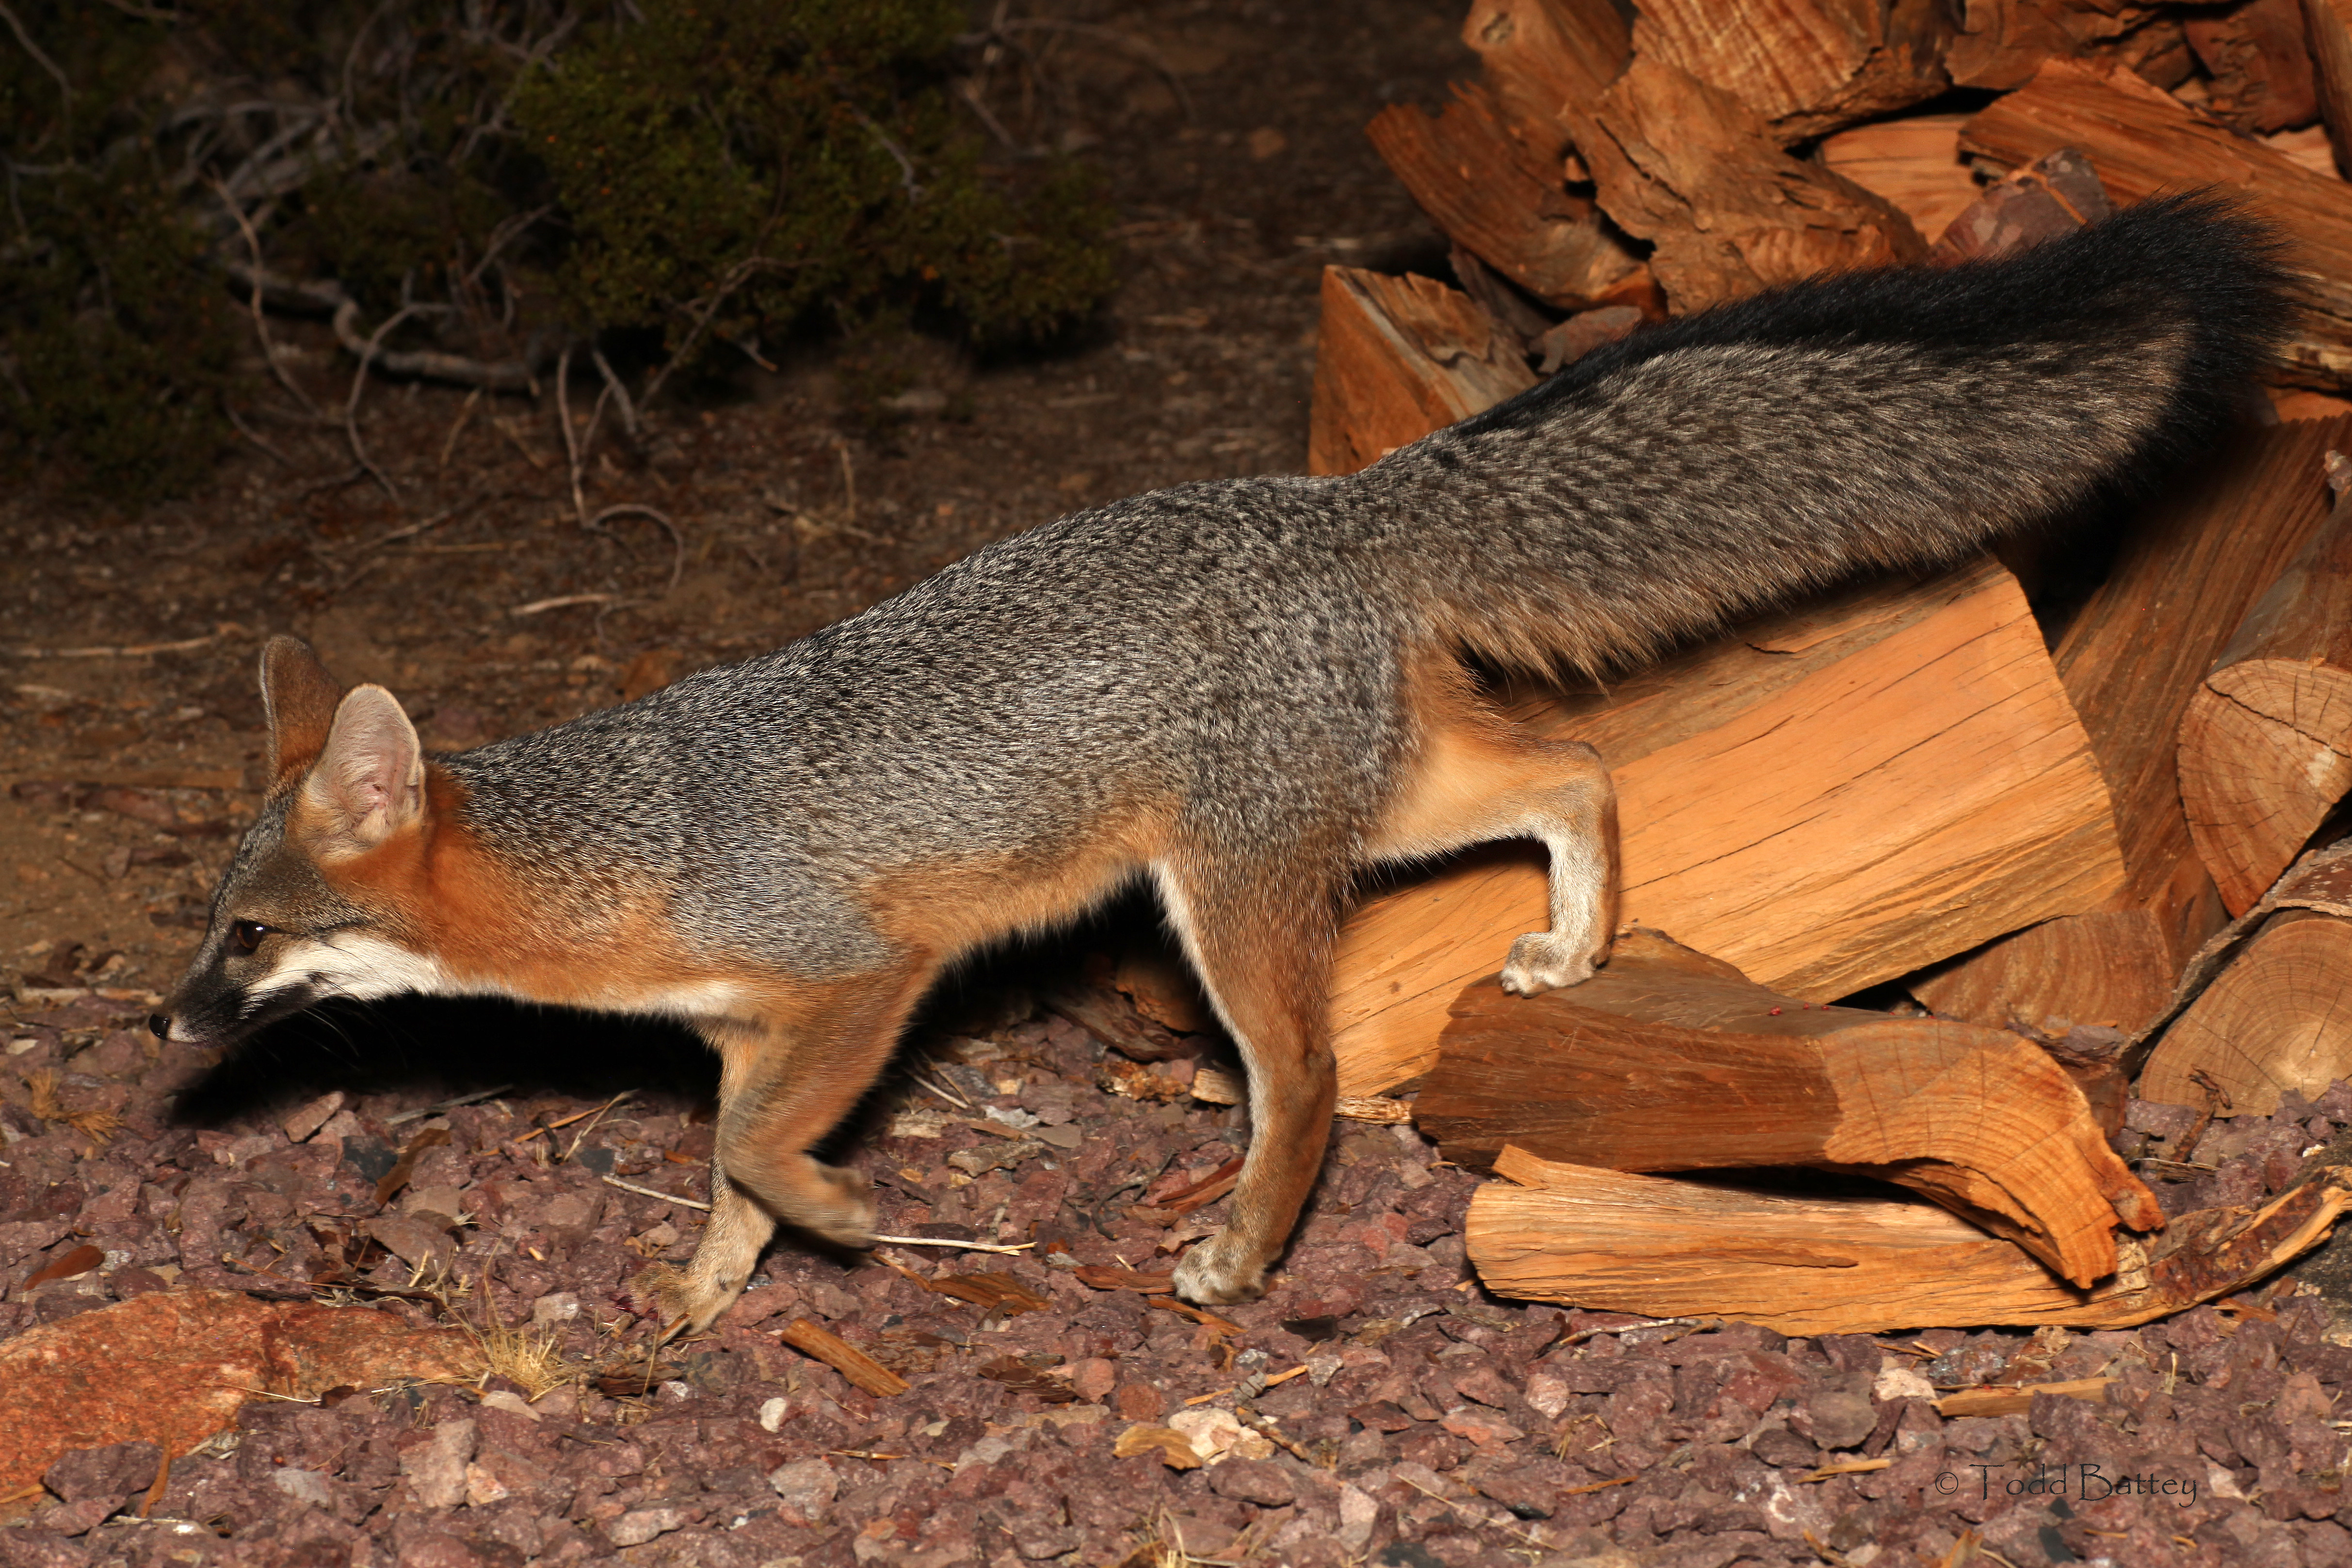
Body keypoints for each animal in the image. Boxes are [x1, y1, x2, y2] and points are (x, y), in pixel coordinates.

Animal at [157, 195, 2291, 1333]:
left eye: (246, 938)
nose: (161, 1024)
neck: (631, 845)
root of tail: (1334, 496)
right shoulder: (755, 1030)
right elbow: (725, 1171)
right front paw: (698, 1303)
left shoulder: (861, 981)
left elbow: (764, 1152)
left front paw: (841, 1227)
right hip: (1382, 803)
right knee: (1580, 767)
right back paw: (1572, 949)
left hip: (1235, 906)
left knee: (1321, 1089)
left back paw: (1248, 1255)